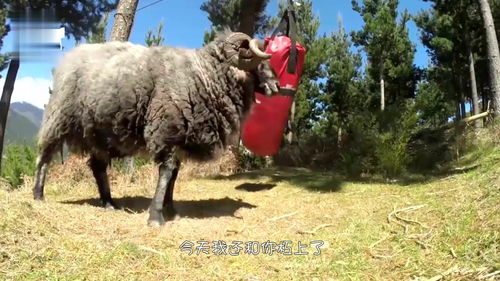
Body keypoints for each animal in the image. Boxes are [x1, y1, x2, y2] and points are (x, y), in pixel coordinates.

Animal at [33, 31, 280, 225]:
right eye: (257, 60)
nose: (276, 86)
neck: (205, 75)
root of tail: (70, 57)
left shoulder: (179, 136)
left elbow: (174, 175)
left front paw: (171, 209)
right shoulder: (167, 130)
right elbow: (167, 173)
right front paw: (156, 215)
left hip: (99, 133)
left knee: (98, 167)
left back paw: (109, 203)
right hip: (59, 117)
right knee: (44, 157)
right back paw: (38, 195)